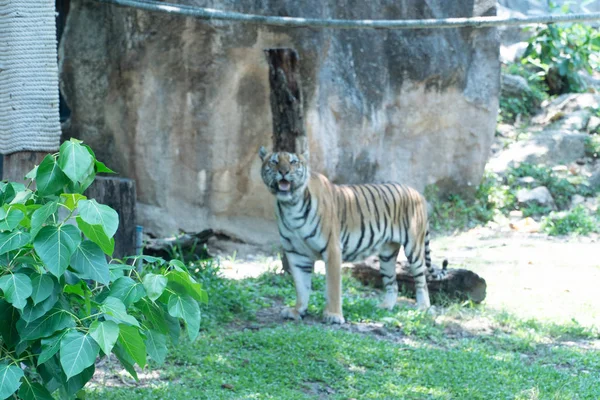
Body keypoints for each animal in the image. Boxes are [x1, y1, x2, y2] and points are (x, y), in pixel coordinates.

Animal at [258, 147, 446, 324]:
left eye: (293, 162)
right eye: (274, 162)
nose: (283, 171)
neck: (291, 205)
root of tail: (418, 193)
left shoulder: (332, 249)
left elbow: (333, 287)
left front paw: (333, 316)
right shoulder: (296, 254)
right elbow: (301, 286)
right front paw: (298, 311)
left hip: (414, 248)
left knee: (421, 281)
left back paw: (423, 308)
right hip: (387, 255)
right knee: (393, 284)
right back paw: (385, 307)